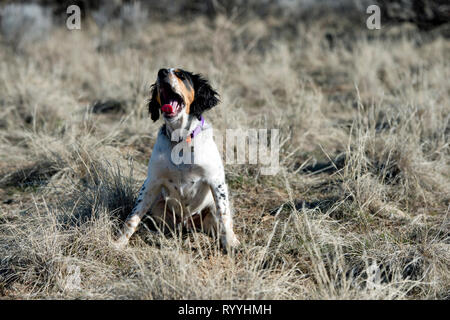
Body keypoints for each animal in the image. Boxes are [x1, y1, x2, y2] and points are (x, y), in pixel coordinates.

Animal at [117, 68, 243, 250]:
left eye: (181, 75)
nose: (161, 72)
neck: (181, 140)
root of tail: (186, 223)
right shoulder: (152, 181)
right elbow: (133, 216)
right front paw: (118, 243)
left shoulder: (216, 180)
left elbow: (224, 215)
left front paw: (231, 244)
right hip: (158, 206)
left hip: (210, 209)